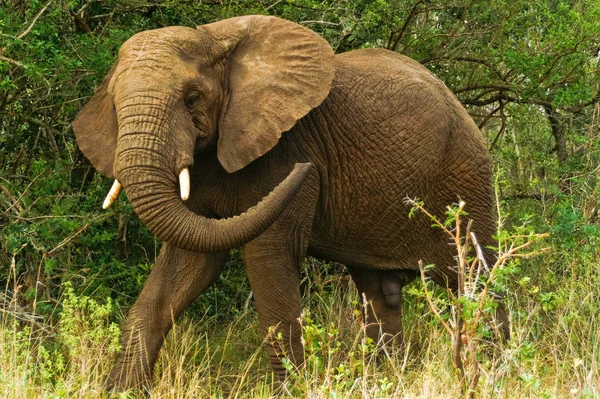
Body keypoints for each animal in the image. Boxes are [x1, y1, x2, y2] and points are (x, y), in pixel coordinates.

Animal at [72, 14, 508, 390]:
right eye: (115, 106)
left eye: (192, 99)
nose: (309, 169)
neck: (215, 41)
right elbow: (186, 267)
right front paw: (117, 391)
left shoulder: (286, 147)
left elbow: (267, 258)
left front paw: (292, 390)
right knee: (378, 293)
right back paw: (388, 378)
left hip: (466, 176)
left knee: (476, 278)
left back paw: (495, 374)